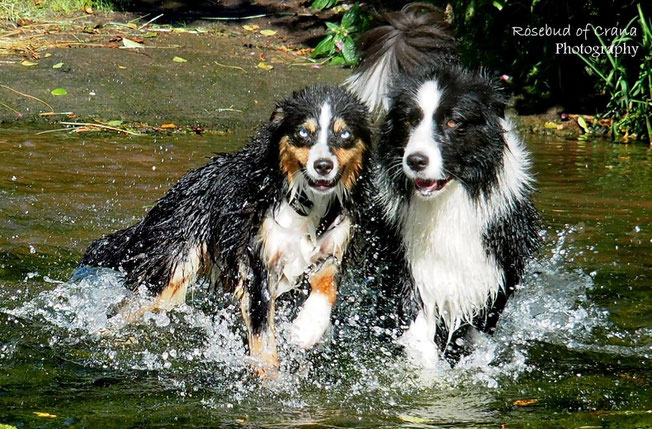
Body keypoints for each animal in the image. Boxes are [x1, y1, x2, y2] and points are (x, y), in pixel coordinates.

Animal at [81, 84, 372, 374]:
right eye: (303, 132)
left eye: (345, 134)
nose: (323, 165)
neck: (307, 200)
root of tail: (177, 190)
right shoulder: (258, 262)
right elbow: (263, 338)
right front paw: (270, 378)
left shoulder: (334, 247)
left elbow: (327, 285)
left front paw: (308, 327)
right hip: (170, 273)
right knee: (128, 308)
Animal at [346, 3, 540, 364]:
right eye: (410, 120)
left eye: (452, 122)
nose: (415, 160)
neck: (448, 201)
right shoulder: (407, 261)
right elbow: (417, 328)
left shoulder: (493, 268)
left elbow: (473, 331)